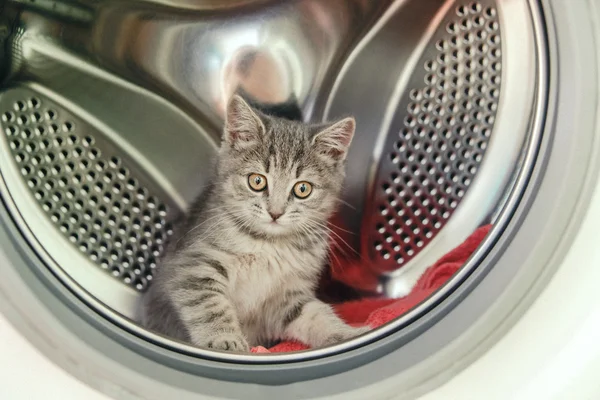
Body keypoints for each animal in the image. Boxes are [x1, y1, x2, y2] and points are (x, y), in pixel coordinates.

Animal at [142, 95, 370, 352]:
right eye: (257, 181)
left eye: (303, 188)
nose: (275, 212)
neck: (269, 244)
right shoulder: (194, 265)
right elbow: (209, 306)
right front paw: (224, 340)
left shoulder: (287, 296)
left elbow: (314, 314)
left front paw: (347, 334)